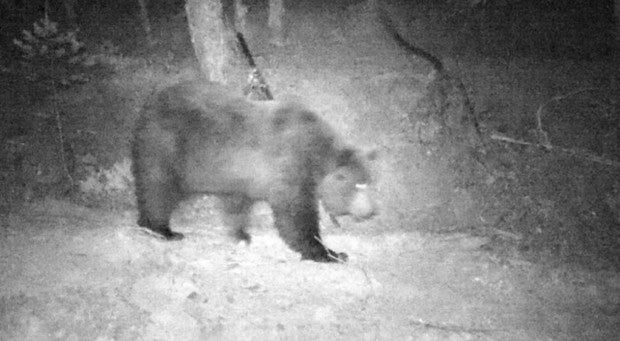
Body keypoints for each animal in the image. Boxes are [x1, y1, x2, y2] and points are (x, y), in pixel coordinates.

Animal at [132, 79, 378, 260]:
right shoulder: (290, 166)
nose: (370, 212)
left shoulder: (241, 176)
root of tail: (151, 102)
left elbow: (237, 204)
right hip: (166, 146)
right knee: (157, 188)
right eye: (358, 185)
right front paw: (329, 253)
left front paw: (241, 235)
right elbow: (294, 214)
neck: (315, 154)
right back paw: (161, 230)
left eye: (370, 183)